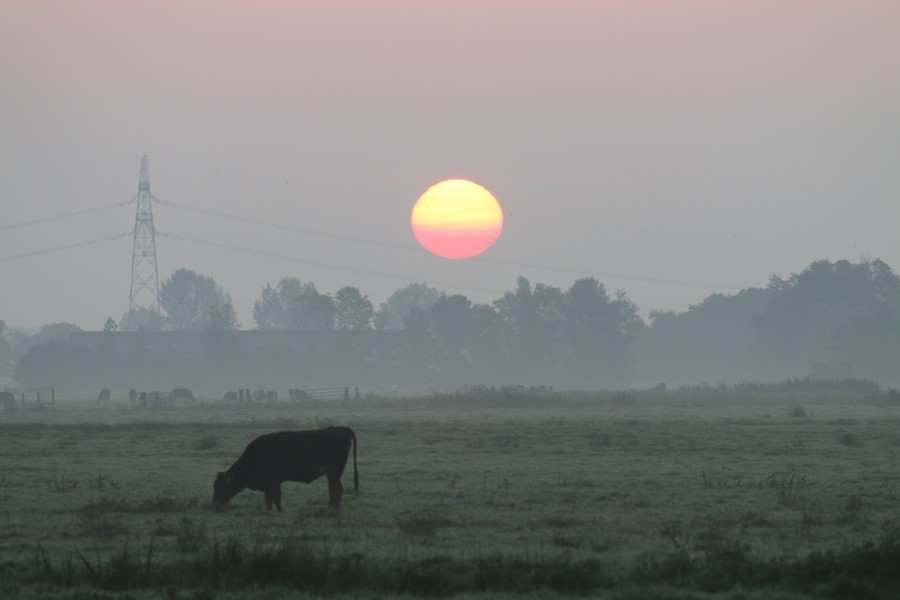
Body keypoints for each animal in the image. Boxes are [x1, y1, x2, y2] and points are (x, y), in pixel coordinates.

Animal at [214, 426, 358, 510]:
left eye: (220, 486)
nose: (214, 502)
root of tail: (339, 429)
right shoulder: (268, 484)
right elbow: (269, 499)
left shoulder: (274, 482)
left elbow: (276, 498)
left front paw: (279, 511)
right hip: (332, 474)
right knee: (333, 488)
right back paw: (331, 507)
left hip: (334, 472)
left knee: (337, 488)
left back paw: (334, 508)